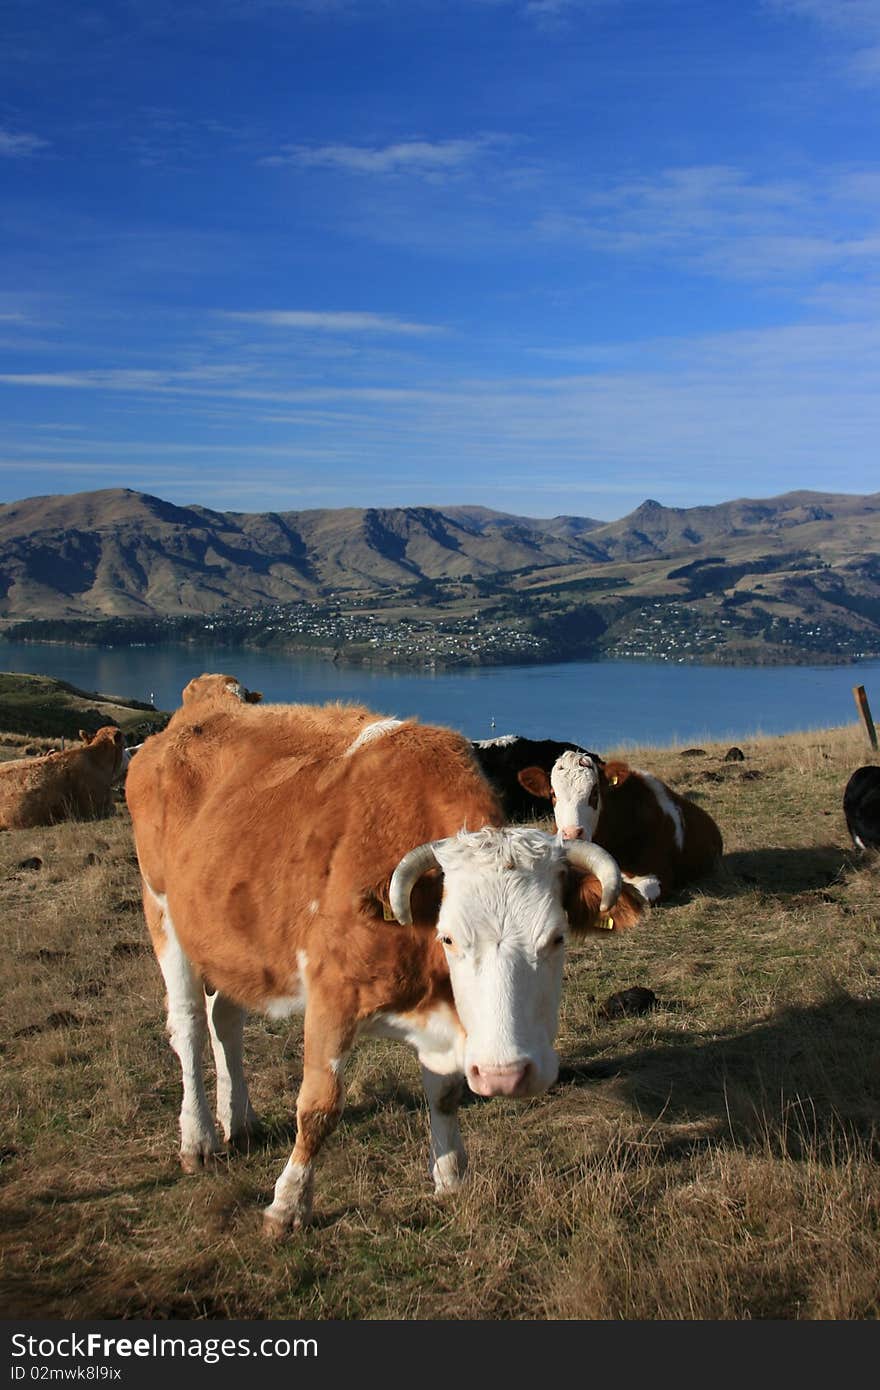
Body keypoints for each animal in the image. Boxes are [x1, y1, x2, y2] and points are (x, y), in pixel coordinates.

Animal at [125, 689, 645, 1234]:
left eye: (557, 938)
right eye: (449, 938)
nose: (506, 1076)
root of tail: (203, 703)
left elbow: (445, 1094)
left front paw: (451, 1179)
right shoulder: (330, 996)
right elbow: (318, 1106)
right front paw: (287, 1204)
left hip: (234, 940)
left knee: (224, 1016)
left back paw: (239, 1119)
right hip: (162, 913)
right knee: (188, 1025)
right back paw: (198, 1139)